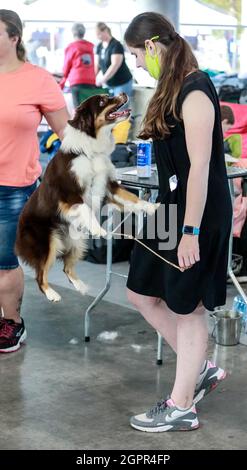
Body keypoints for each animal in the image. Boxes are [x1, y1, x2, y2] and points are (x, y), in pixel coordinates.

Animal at [15, 92, 158, 302]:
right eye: (102, 101)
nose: (123, 93)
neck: (90, 152)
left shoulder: (108, 186)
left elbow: (131, 198)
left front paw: (150, 207)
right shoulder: (70, 195)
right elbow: (85, 209)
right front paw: (99, 229)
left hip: (76, 241)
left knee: (67, 267)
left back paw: (81, 287)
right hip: (47, 243)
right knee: (40, 275)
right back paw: (52, 294)